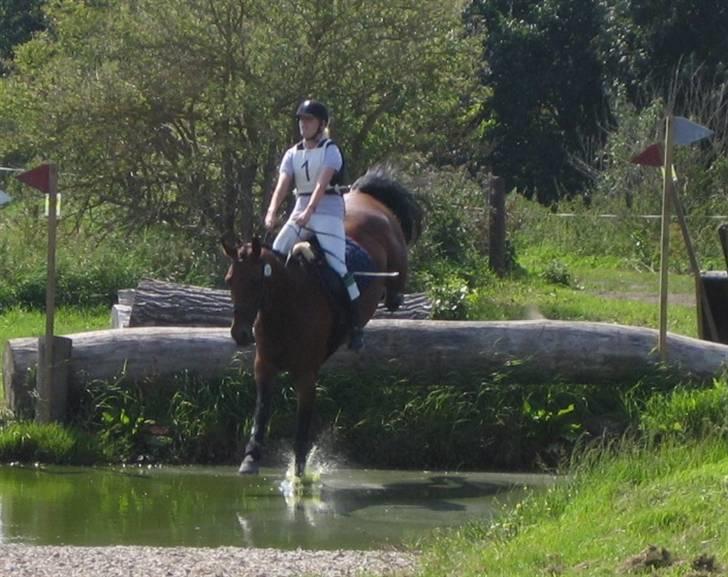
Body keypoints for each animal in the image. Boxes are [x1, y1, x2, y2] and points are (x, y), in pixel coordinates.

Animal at [220, 168, 420, 476]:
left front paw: (300, 474)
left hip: (394, 245)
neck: (285, 309)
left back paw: (393, 299)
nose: (239, 334)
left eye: (255, 281)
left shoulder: (307, 374)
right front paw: (250, 458)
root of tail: (363, 194)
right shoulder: (264, 366)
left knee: (397, 276)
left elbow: (302, 425)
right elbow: (261, 411)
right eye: (229, 280)